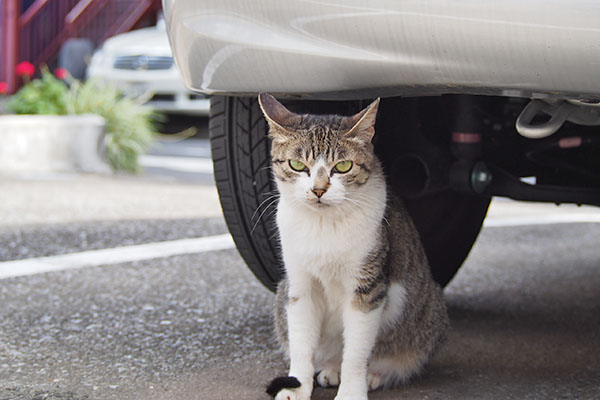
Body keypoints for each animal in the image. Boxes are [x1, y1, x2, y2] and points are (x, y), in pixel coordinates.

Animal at [258, 93, 450, 400]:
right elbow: (301, 344)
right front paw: (296, 387)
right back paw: (330, 368)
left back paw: (376, 374)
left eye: (343, 167)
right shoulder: (300, 286)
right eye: (297, 166)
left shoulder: (367, 288)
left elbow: (357, 352)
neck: (324, 225)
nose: (319, 190)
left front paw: (351, 391)